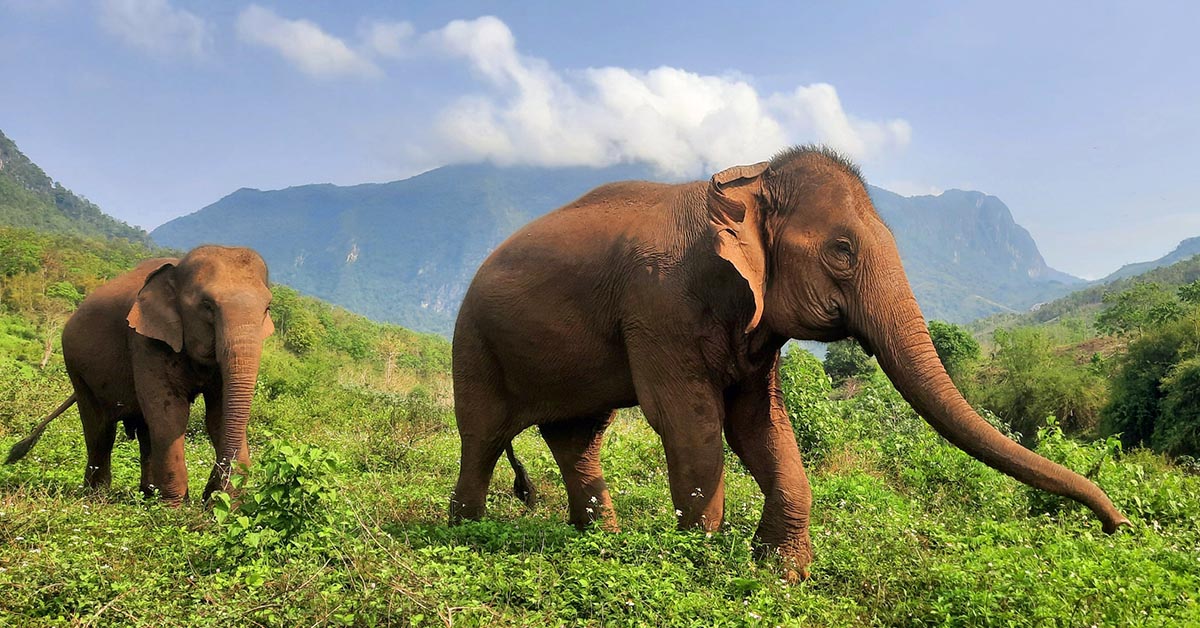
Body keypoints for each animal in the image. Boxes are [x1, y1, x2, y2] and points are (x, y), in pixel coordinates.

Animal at [6, 245, 274, 504]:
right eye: (207, 305)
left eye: (267, 308)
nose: (211, 496)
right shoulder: (144, 340)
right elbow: (170, 416)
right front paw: (176, 510)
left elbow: (218, 415)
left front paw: (222, 507)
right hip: (77, 369)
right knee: (100, 431)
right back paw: (96, 496)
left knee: (144, 431)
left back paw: (146, 494)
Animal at [449, 145, 1128, 578]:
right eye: (842, 250)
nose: (1119, 527)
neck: (745, 181)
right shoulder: (657, 307)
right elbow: (691, 422)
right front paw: (700, 563)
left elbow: (760, 425)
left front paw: (780, 573)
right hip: (472, 344)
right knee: (482, 439)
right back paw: (463, 535)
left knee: (579, 440)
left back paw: (600, 542)